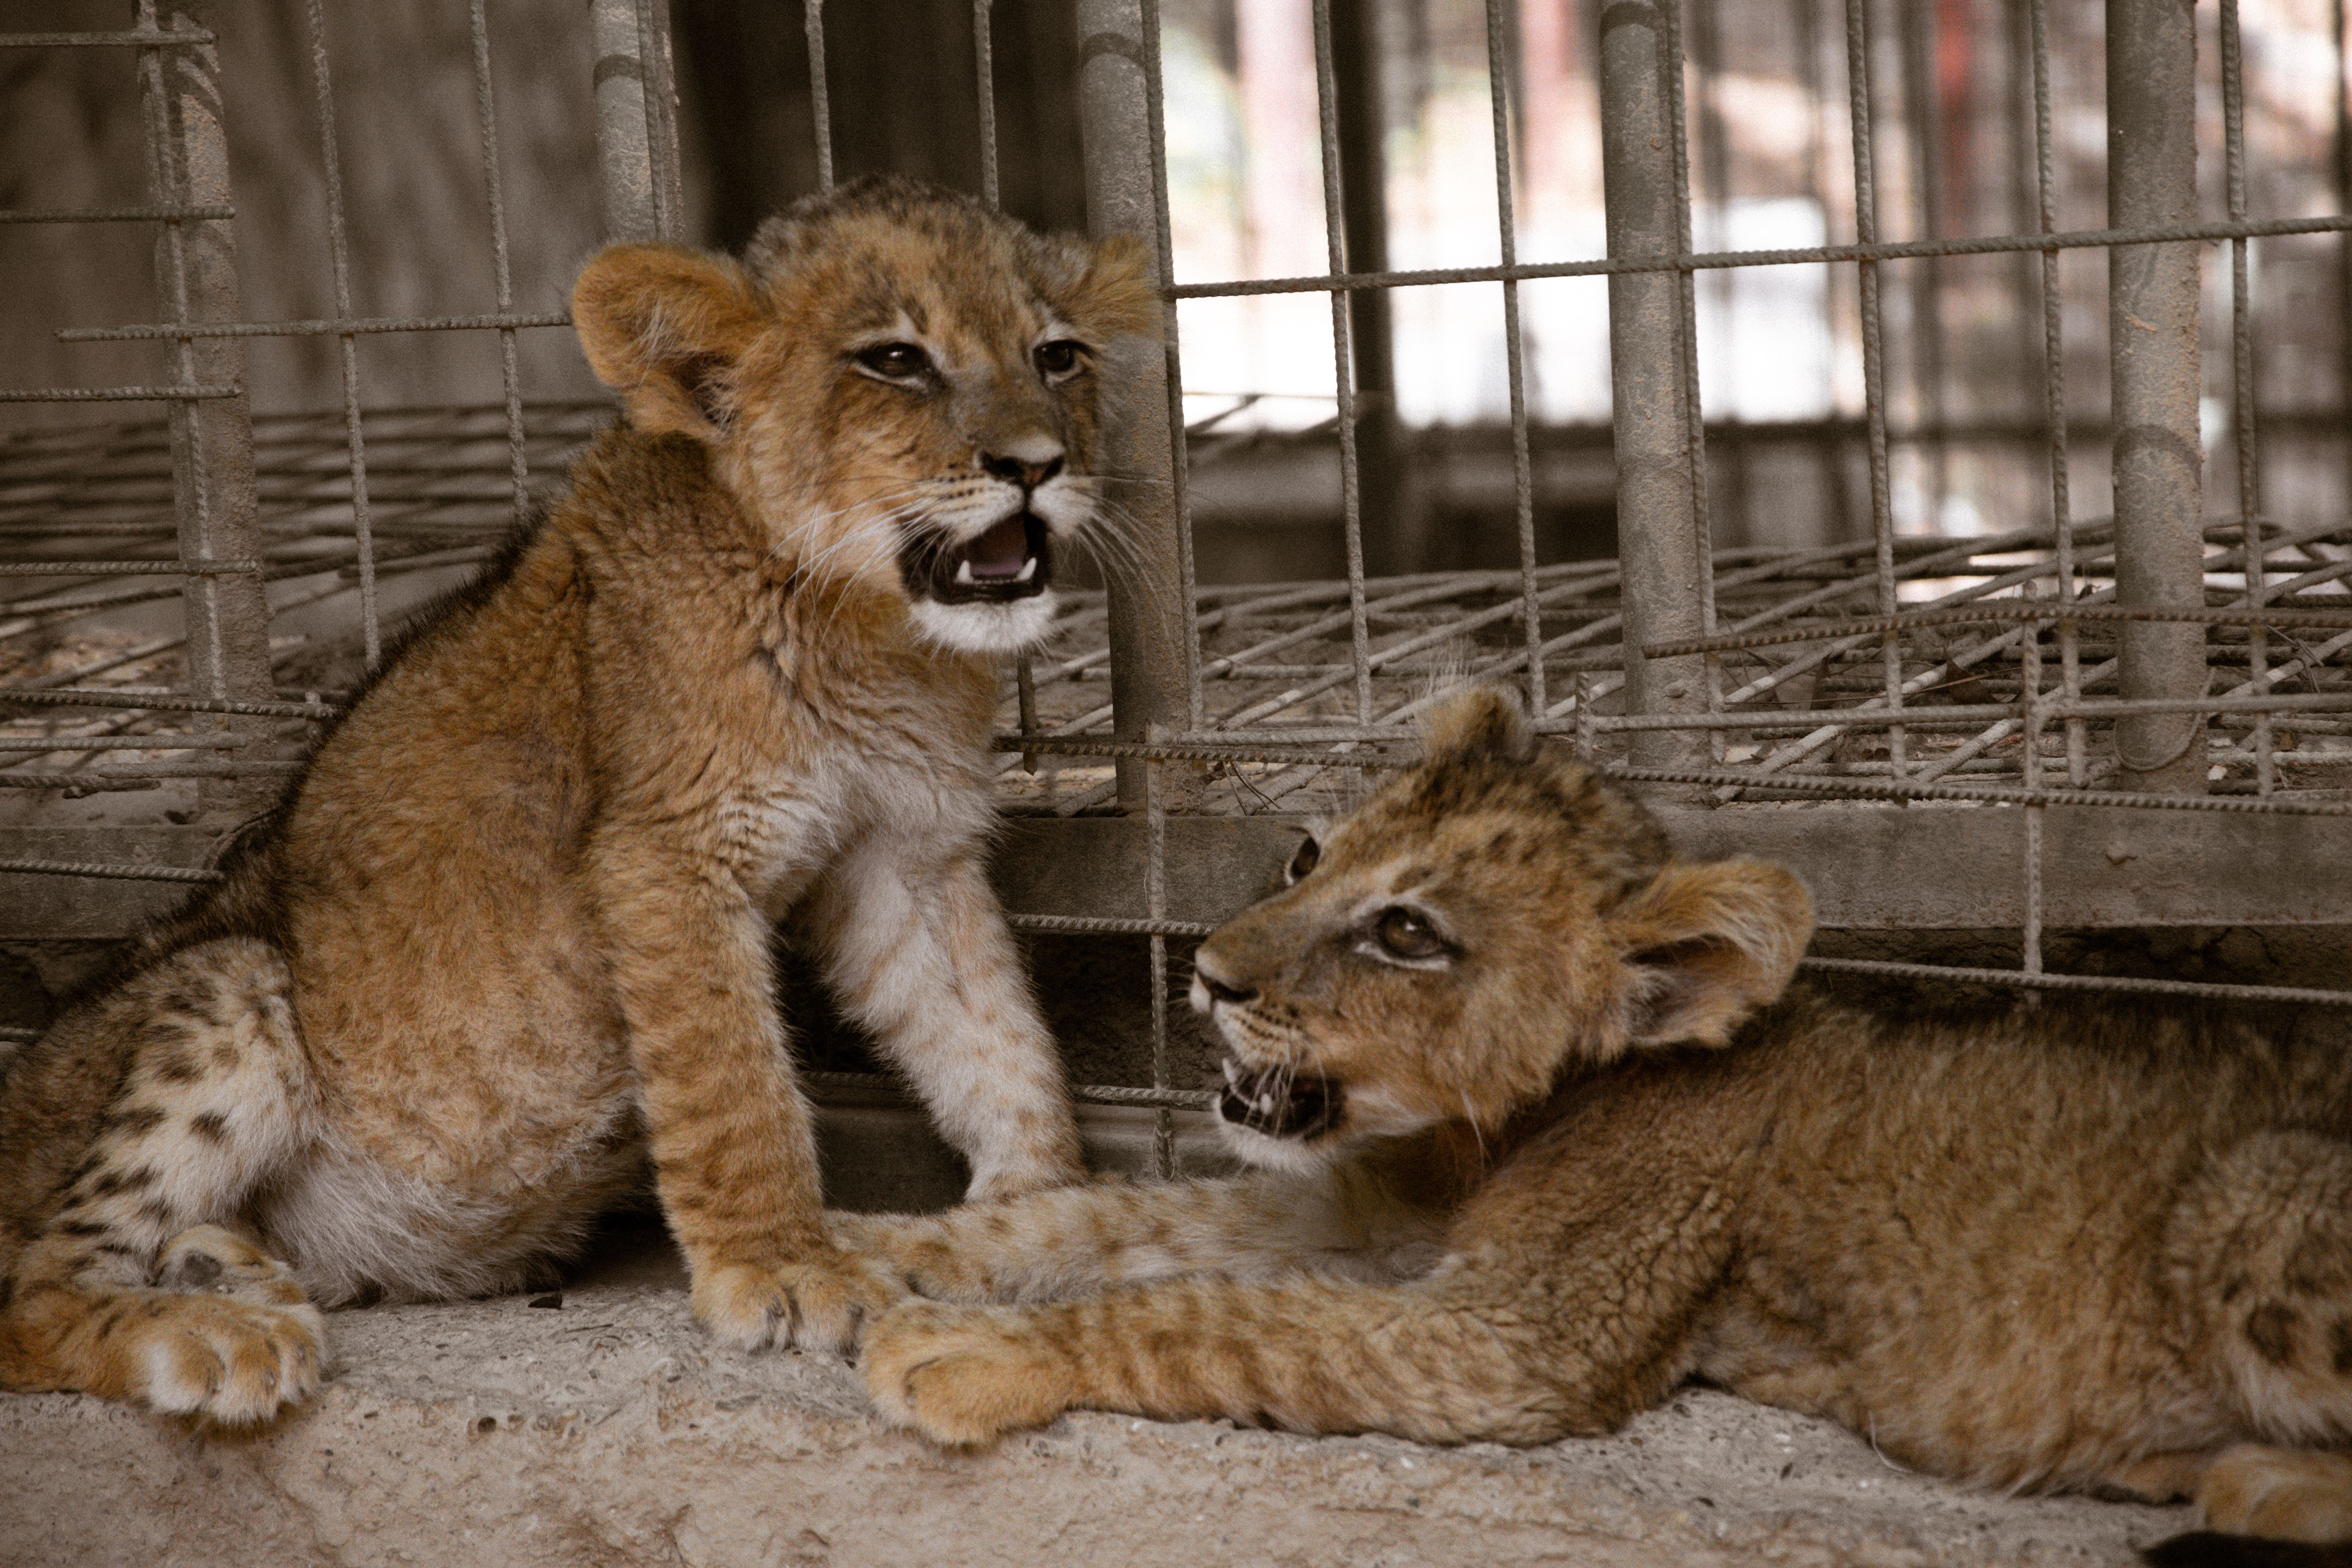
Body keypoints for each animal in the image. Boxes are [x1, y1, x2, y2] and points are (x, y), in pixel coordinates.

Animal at [0, 174, 1153, 1423]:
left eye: (1056, 356)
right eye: (895, 360)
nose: (1037, 464)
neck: (872, 637)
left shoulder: (904, 849)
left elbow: (995, 1040)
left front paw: (1046, 1212)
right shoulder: (666, 850)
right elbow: (734, 1086)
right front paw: (785, 1267)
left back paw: (227, 1270)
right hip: (230, 980)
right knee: (35, 1289)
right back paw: (215, 1333)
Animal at [850, 685, 2352, 1548]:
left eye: (1408, 933)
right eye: (1302, 854)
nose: (1209, 977)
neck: (1488, 1133)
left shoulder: (1521, 1338)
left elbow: (1203, 1315)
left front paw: (967, 1352)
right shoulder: (1375, 1213)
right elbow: (1116, 1218)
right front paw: (863, 1257)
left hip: (2255, 1196)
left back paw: (2245, 1483)